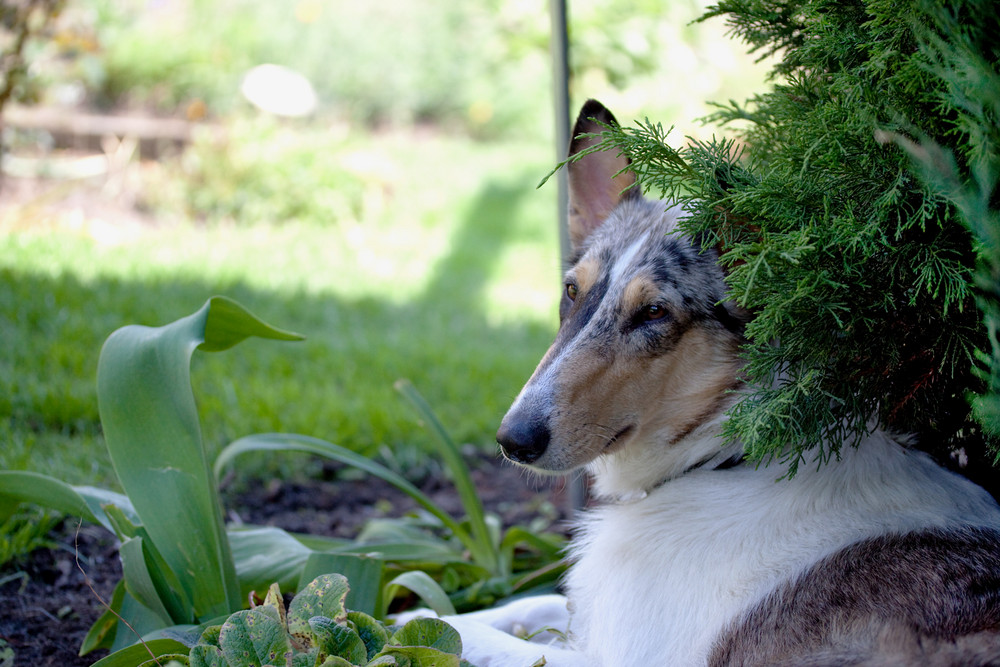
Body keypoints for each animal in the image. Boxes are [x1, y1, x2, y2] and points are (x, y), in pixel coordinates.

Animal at [426, 100, 1000, 667]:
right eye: (571, 290)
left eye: (654, 312)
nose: (512, 440)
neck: (725, 458)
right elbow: (526, 604)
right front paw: (429, 607)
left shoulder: (620, 658)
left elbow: (477, 639)